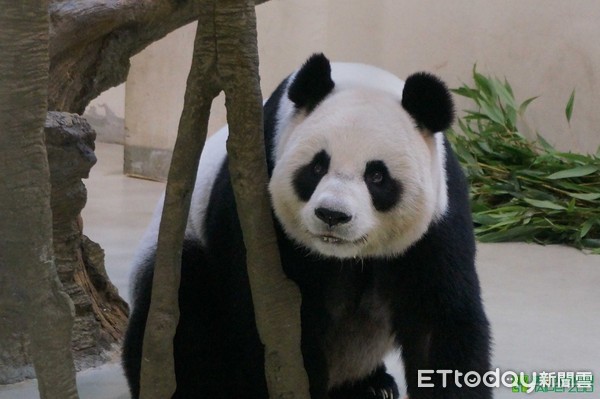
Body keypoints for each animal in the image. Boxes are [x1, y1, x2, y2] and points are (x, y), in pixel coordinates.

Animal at [123, 54, 492, 399]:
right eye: (317, 167)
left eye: (377, 176)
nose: (332, 215)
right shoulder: (254, 201)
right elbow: (271, 316)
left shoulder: (438, 219)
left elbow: (439, 322)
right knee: (183, 314)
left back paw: (372, 386)